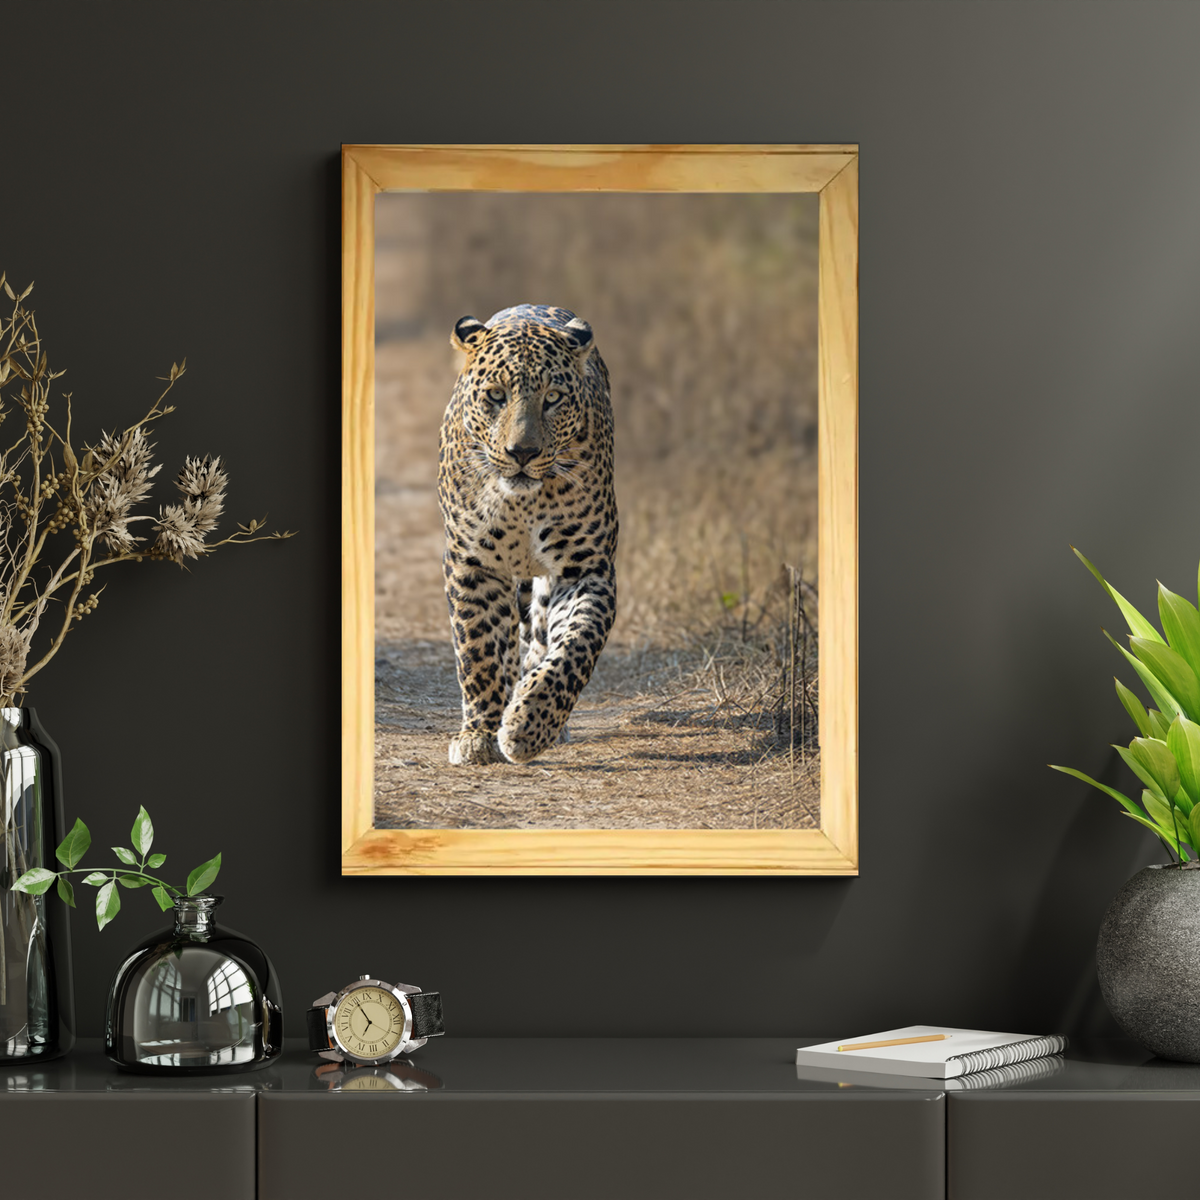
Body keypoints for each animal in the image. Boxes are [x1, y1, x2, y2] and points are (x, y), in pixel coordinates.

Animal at [437, 304, 618, 765]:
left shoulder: (585, 569)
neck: (521, 503)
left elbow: (575, 646)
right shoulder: (473, 564)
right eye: (496, 396)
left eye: (552, 398)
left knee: (539, 640)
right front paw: (480, 734)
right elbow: (479, 651)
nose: (522, 453)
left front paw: (528, 725)